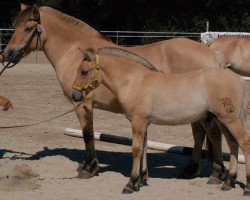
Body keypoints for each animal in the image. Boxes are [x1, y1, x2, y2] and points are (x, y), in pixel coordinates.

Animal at [3, 3, 227, 183]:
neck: (74, 54)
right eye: (14, 26)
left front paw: (89, 168)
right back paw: (191, 170)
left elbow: (87, 134)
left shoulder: (82, 104)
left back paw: (217, 173)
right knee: (199, 135)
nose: (7, 53)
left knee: (213, 133)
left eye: (28, 28)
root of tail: (212, 54)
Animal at [70, 47, 250, 195]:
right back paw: (228, 182)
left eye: (84, 71)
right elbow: (144, 148)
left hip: (230, 120)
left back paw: (246, 188)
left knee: (244, 143)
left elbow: (136, 149)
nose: (75, 95)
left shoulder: (138, 122)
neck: (134, 81)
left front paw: (131, 184)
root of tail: (237, 80)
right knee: (233, 144)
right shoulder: (144, 123)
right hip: (224, 120)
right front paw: (141, 181)